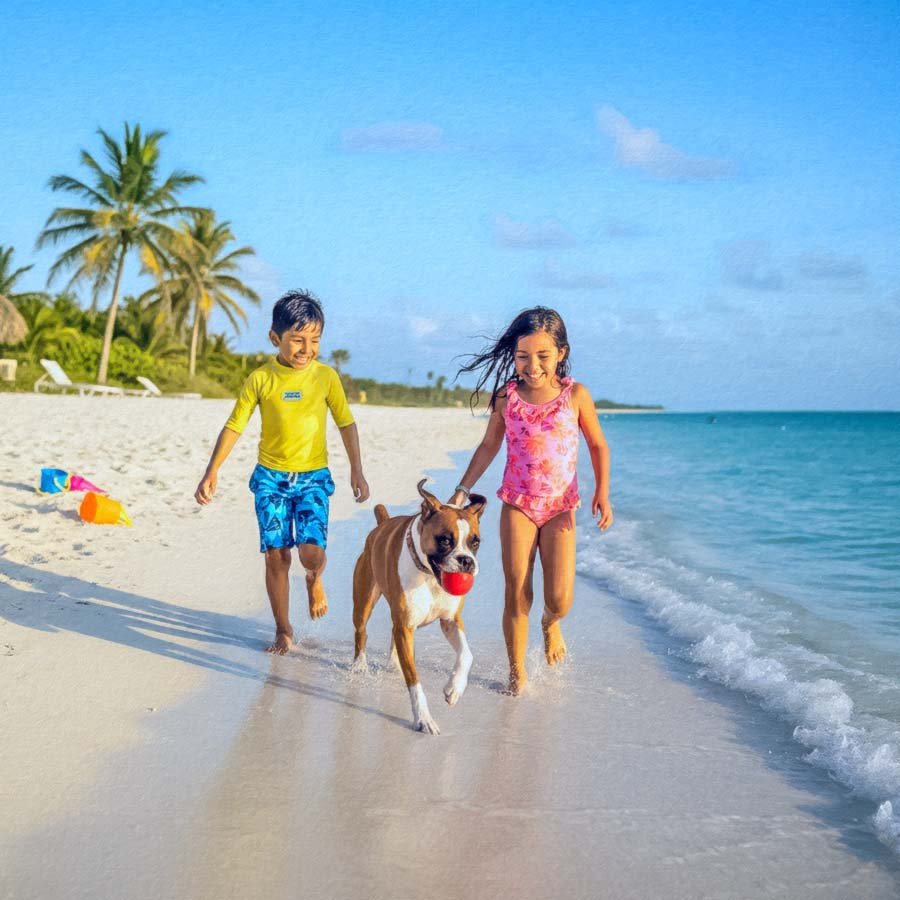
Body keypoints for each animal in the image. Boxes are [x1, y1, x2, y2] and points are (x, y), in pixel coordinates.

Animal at [351, 479, 486, 734]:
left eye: (475, 542)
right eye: (445, 540)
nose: (466, 561)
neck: (428, 575)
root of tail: (380, 525)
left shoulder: (450, 621)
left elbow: (467, 654)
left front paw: (454, 688)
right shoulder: (406, 626)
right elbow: (414, 681)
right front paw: (423, 718)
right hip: (364, 601)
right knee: (361, 631)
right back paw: (359, 665)